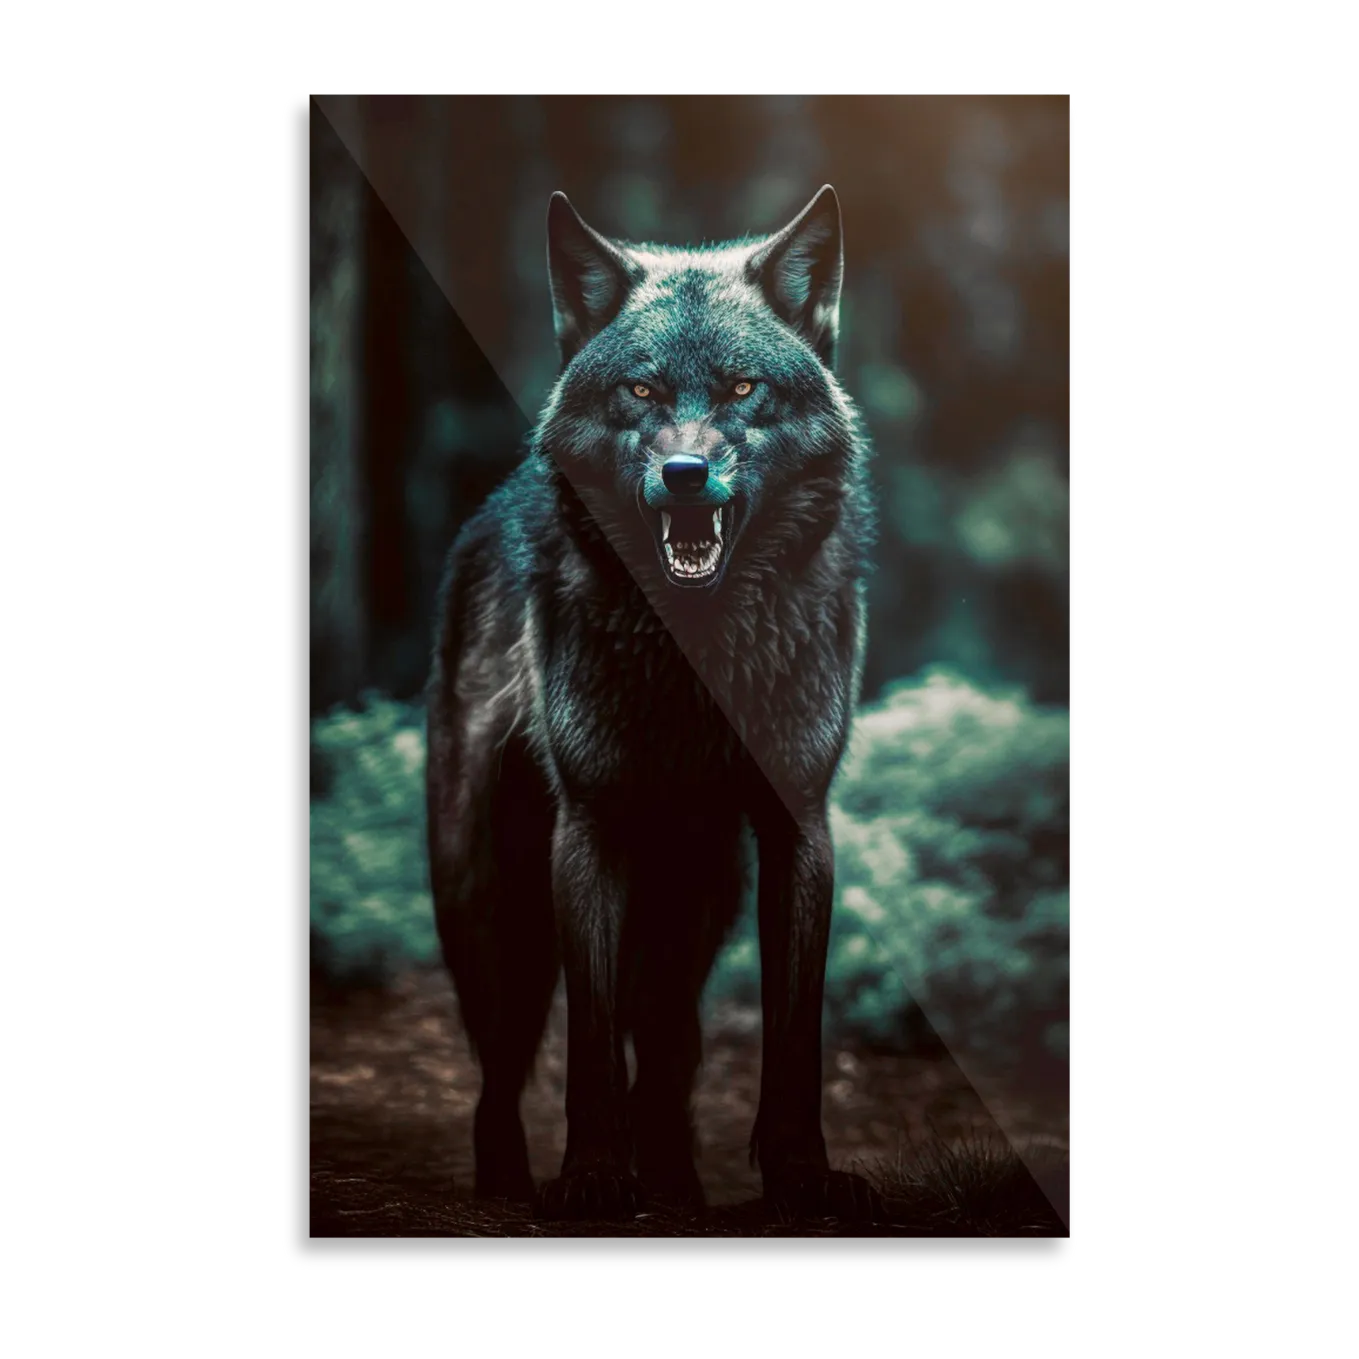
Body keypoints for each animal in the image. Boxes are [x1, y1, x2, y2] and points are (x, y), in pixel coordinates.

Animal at [426, 185, 881, 1221]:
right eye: (639, 393)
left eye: (743, 390)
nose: (684, 474)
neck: (696, 655)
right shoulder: (589, 829)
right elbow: (591, 1043)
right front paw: (593, 1175)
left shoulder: (797, 824)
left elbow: (790, 1039)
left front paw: (800, 1174)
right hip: (491, 904)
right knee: (500, 1072)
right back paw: (508, 1185)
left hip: (699, 897)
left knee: (669, 1047)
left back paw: (675, 1183)